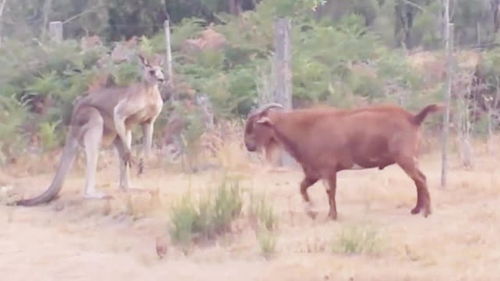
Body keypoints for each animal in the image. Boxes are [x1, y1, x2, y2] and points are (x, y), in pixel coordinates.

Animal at [244, 103, 444, 219]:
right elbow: (302, 187)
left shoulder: (327, 169)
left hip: (404, 157)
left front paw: (331, 215)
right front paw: (311, 211)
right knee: (418, 179)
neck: (305, 128)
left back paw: (427, 212)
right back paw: (416, 209)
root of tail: (413, 118)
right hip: (410, 158)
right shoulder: (313, 171)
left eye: (254, 125)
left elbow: (330, 191)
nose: (248, 145)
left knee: (421, 179)